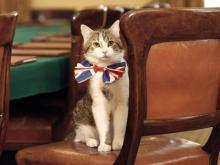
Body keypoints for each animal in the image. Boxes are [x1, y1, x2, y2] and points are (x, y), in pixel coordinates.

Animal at [64, 20, 129, 152]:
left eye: (110, 43)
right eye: (96, 44)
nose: (104, 51)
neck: (106, 70)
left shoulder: (122, 103)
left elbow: (120, 126)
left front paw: (118, 144)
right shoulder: (98, 104)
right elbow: (103, 126)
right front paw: (104, 145)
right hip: (80, 115)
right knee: (81, 137)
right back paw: (92, 141)